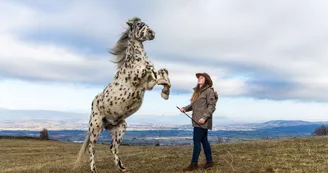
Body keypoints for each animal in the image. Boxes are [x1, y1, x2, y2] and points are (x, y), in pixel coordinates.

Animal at [74, 16, 172, 172]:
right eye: (140, 25)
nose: (152, 33)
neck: (136, 59)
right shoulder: (138, 78)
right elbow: (151, 68)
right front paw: (164, 89)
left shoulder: (148, 85)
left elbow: (163, 72)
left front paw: (165, 93)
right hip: (95, 127)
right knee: (91, 148)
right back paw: (94, 169)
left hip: (120, 128)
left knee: (112, 147)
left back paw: (122, 167)